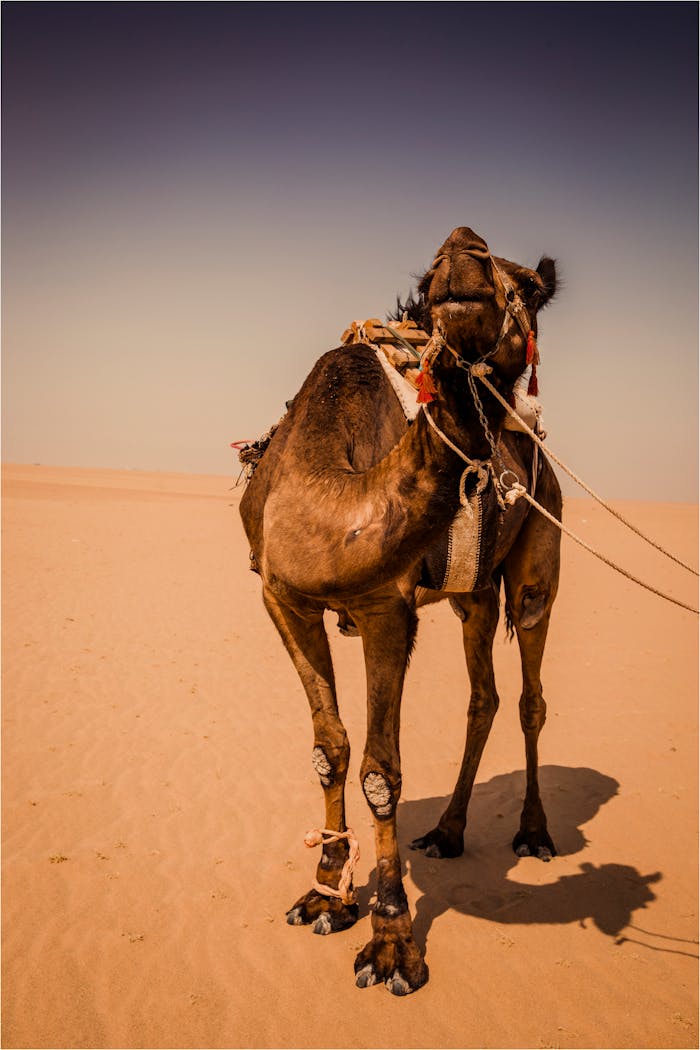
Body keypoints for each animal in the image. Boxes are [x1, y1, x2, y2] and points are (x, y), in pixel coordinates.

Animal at [239, 225, 561, 995]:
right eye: (430, 274)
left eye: (532, 290)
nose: (463, 249)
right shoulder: (284, 598)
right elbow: (329, 749)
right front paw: (326, 893)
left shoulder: (386, 607)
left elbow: (381, 771)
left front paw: (391, 944)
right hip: (473, 595)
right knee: (484, 693)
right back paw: (446, 832)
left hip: (542, 549)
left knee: (530, 692)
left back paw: (534, 832)